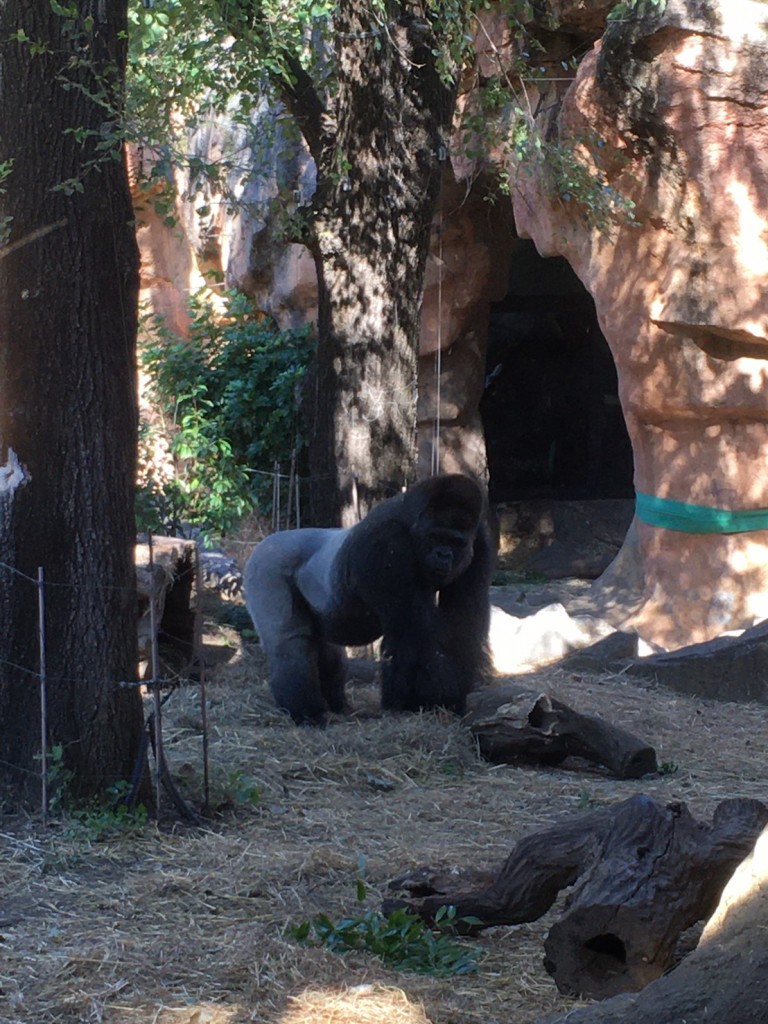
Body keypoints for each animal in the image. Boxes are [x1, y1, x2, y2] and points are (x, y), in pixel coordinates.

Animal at [243, 475, 495, 724]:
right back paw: (307, 712)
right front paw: (419, 703)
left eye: (456, 542)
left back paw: (337, 706)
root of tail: (266, 541)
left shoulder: (480, 544)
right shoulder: (388, 543)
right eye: (436, 537)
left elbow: (461, 627)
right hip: (267, 565)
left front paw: (451, 699)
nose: (443, 555)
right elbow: (411, 636)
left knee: (328, 652)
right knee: (291, 641)